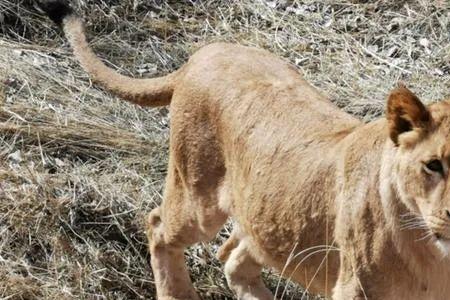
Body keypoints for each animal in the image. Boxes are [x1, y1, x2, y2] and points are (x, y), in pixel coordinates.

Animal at [39, 1, 450, 298]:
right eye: (433, 166)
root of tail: (205, 53)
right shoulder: (354, 289)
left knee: (232, 256)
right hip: (197, 199)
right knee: (158, 227)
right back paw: (178, 294)